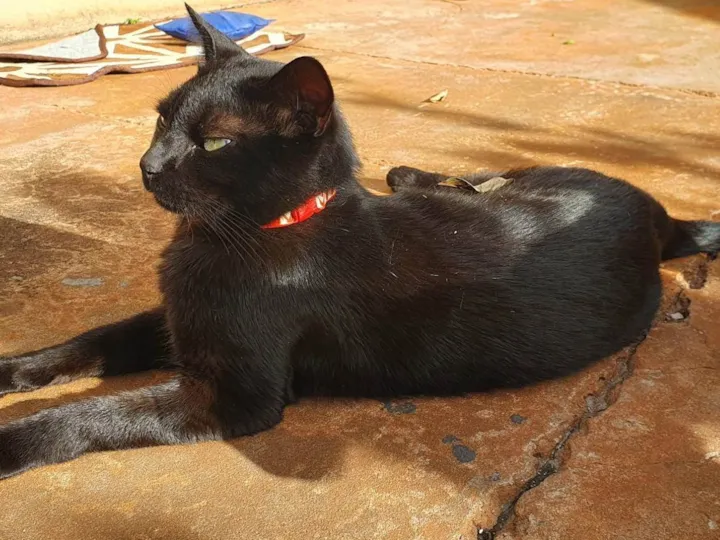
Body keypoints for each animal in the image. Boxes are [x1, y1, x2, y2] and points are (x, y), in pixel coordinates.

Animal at [0, 3, 718, 480]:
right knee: (465, 182)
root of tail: (659, 216)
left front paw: (13, 442)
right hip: (510, 179)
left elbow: (93, 415)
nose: (147, 166)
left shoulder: (232, 393)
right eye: (160, 120)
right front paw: (15, 370)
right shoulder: (179, 320)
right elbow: (92, 340)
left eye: (215, 143)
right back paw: (409, 174)